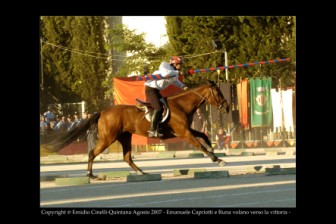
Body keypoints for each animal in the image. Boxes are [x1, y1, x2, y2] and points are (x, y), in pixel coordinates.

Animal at [48, 79, 230, 178]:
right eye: (218, 93)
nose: (227, 107)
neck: (181, 105)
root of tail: (103, 112)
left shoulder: (186, 130)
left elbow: (204, 136)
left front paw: (213, 149)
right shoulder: (184, 132)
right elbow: (199, 145)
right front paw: (217, 159)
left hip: (125, 137)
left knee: (127, 157)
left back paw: (141, 172)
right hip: (108, 138)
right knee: (93, 153)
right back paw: (89, 174)